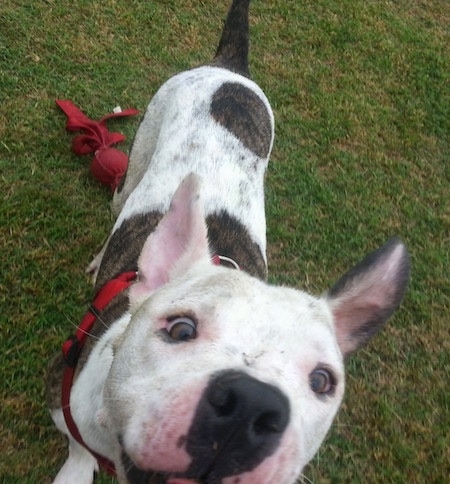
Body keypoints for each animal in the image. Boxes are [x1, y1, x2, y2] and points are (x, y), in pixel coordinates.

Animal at [46, 0, 412, 484]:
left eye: (322, 381)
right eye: (181, 329)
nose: (251, 405)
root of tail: (229, 67)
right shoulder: (62, 395)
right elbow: (78, 447)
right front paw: (75, 470)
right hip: (139, 155)